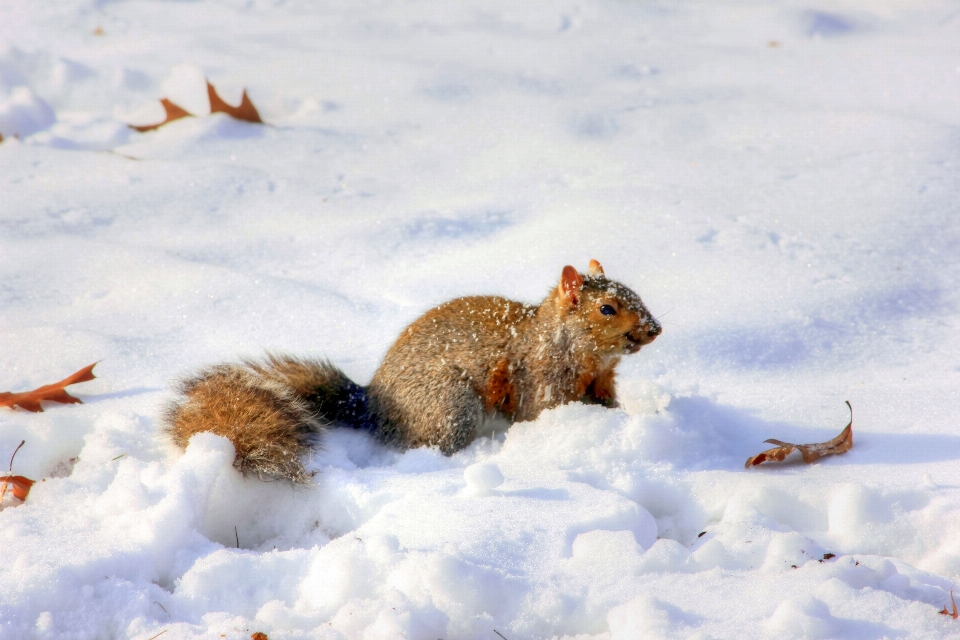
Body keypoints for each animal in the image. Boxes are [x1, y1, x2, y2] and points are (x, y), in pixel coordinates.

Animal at [165, 260, 660, 480]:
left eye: (636, 292)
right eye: (607, 308)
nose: (655, 329)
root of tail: (373, 404)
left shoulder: (602, 384)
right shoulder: (540, 381)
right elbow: (543, 412)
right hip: (450, 405)